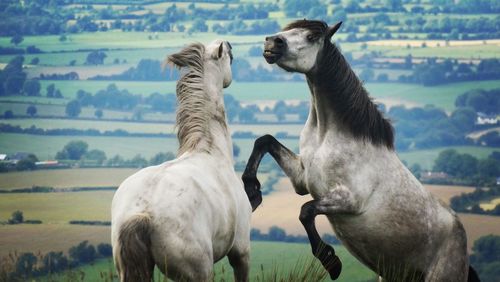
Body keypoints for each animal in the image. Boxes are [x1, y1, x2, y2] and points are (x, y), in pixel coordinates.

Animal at [114, 40, 254, 282]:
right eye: (228, 55)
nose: (228, 44)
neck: (212, 150)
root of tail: (142, 213)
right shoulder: (241, 252)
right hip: (199, 271)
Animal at [242, 20, 480, 282]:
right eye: (288, 30)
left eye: (312, 36)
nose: (272, 42)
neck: (328, 135)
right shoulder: (301, 179)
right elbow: (264, 141)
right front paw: (252, 191)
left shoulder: (349, 200)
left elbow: (306, 211)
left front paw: (331, 261)